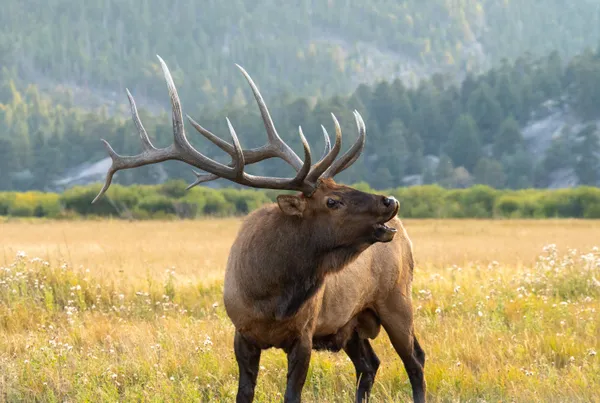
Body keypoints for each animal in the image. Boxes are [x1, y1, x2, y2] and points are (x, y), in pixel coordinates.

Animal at [92, 56, 426, 403]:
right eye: (332, 200)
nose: (390, 201)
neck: (271, 296)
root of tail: (405, 235)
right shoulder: (242, 334)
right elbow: (244, 393)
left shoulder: (304, 334)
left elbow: (292, 395)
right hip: (352, 323)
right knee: (370, 364)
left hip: (397, 299)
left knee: (415, 360)